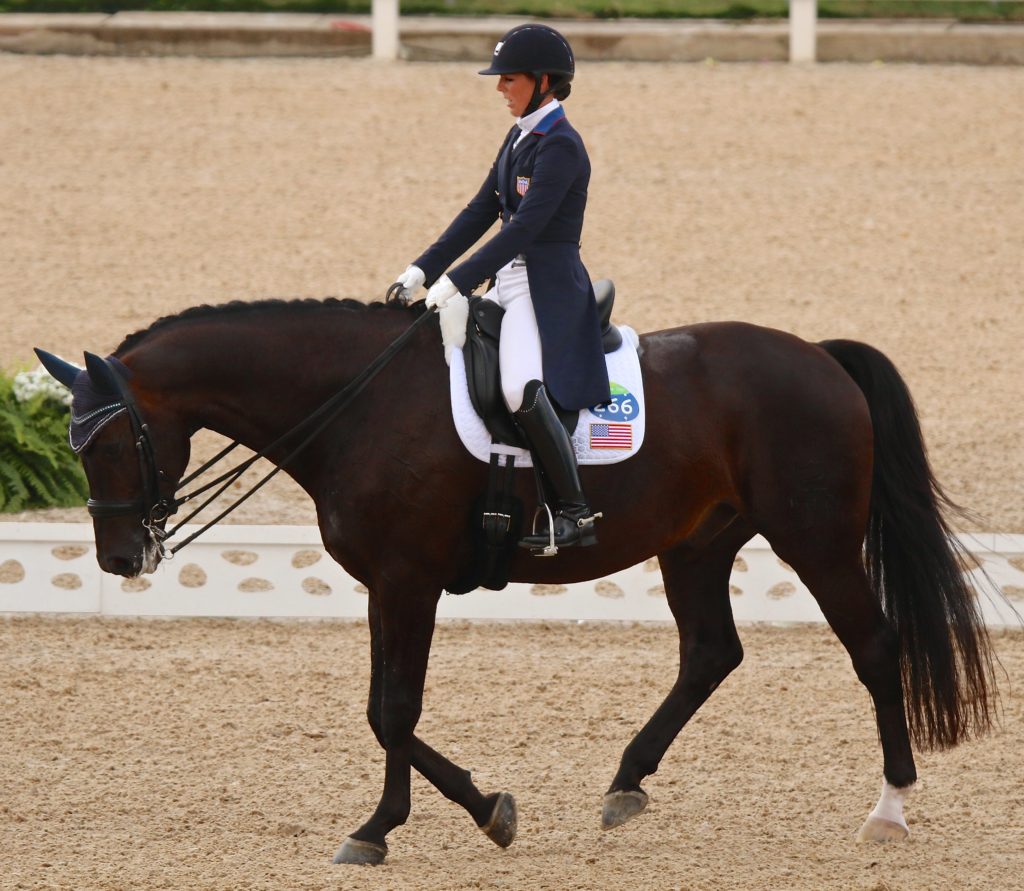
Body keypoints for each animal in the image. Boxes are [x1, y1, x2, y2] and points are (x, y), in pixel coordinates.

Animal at [36, 299, 995, 864]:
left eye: (111, 441)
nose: (119, 559)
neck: (357, 402)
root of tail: (821, 357)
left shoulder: (409, 577)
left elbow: (395, 710)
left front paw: (447, 816)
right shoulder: (388, 581)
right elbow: (385, 708)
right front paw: (407, 821)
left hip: (816, 538)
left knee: (874, 645)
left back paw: (890, 808)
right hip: (697, 543)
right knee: (710, 652)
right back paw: (626, 782)